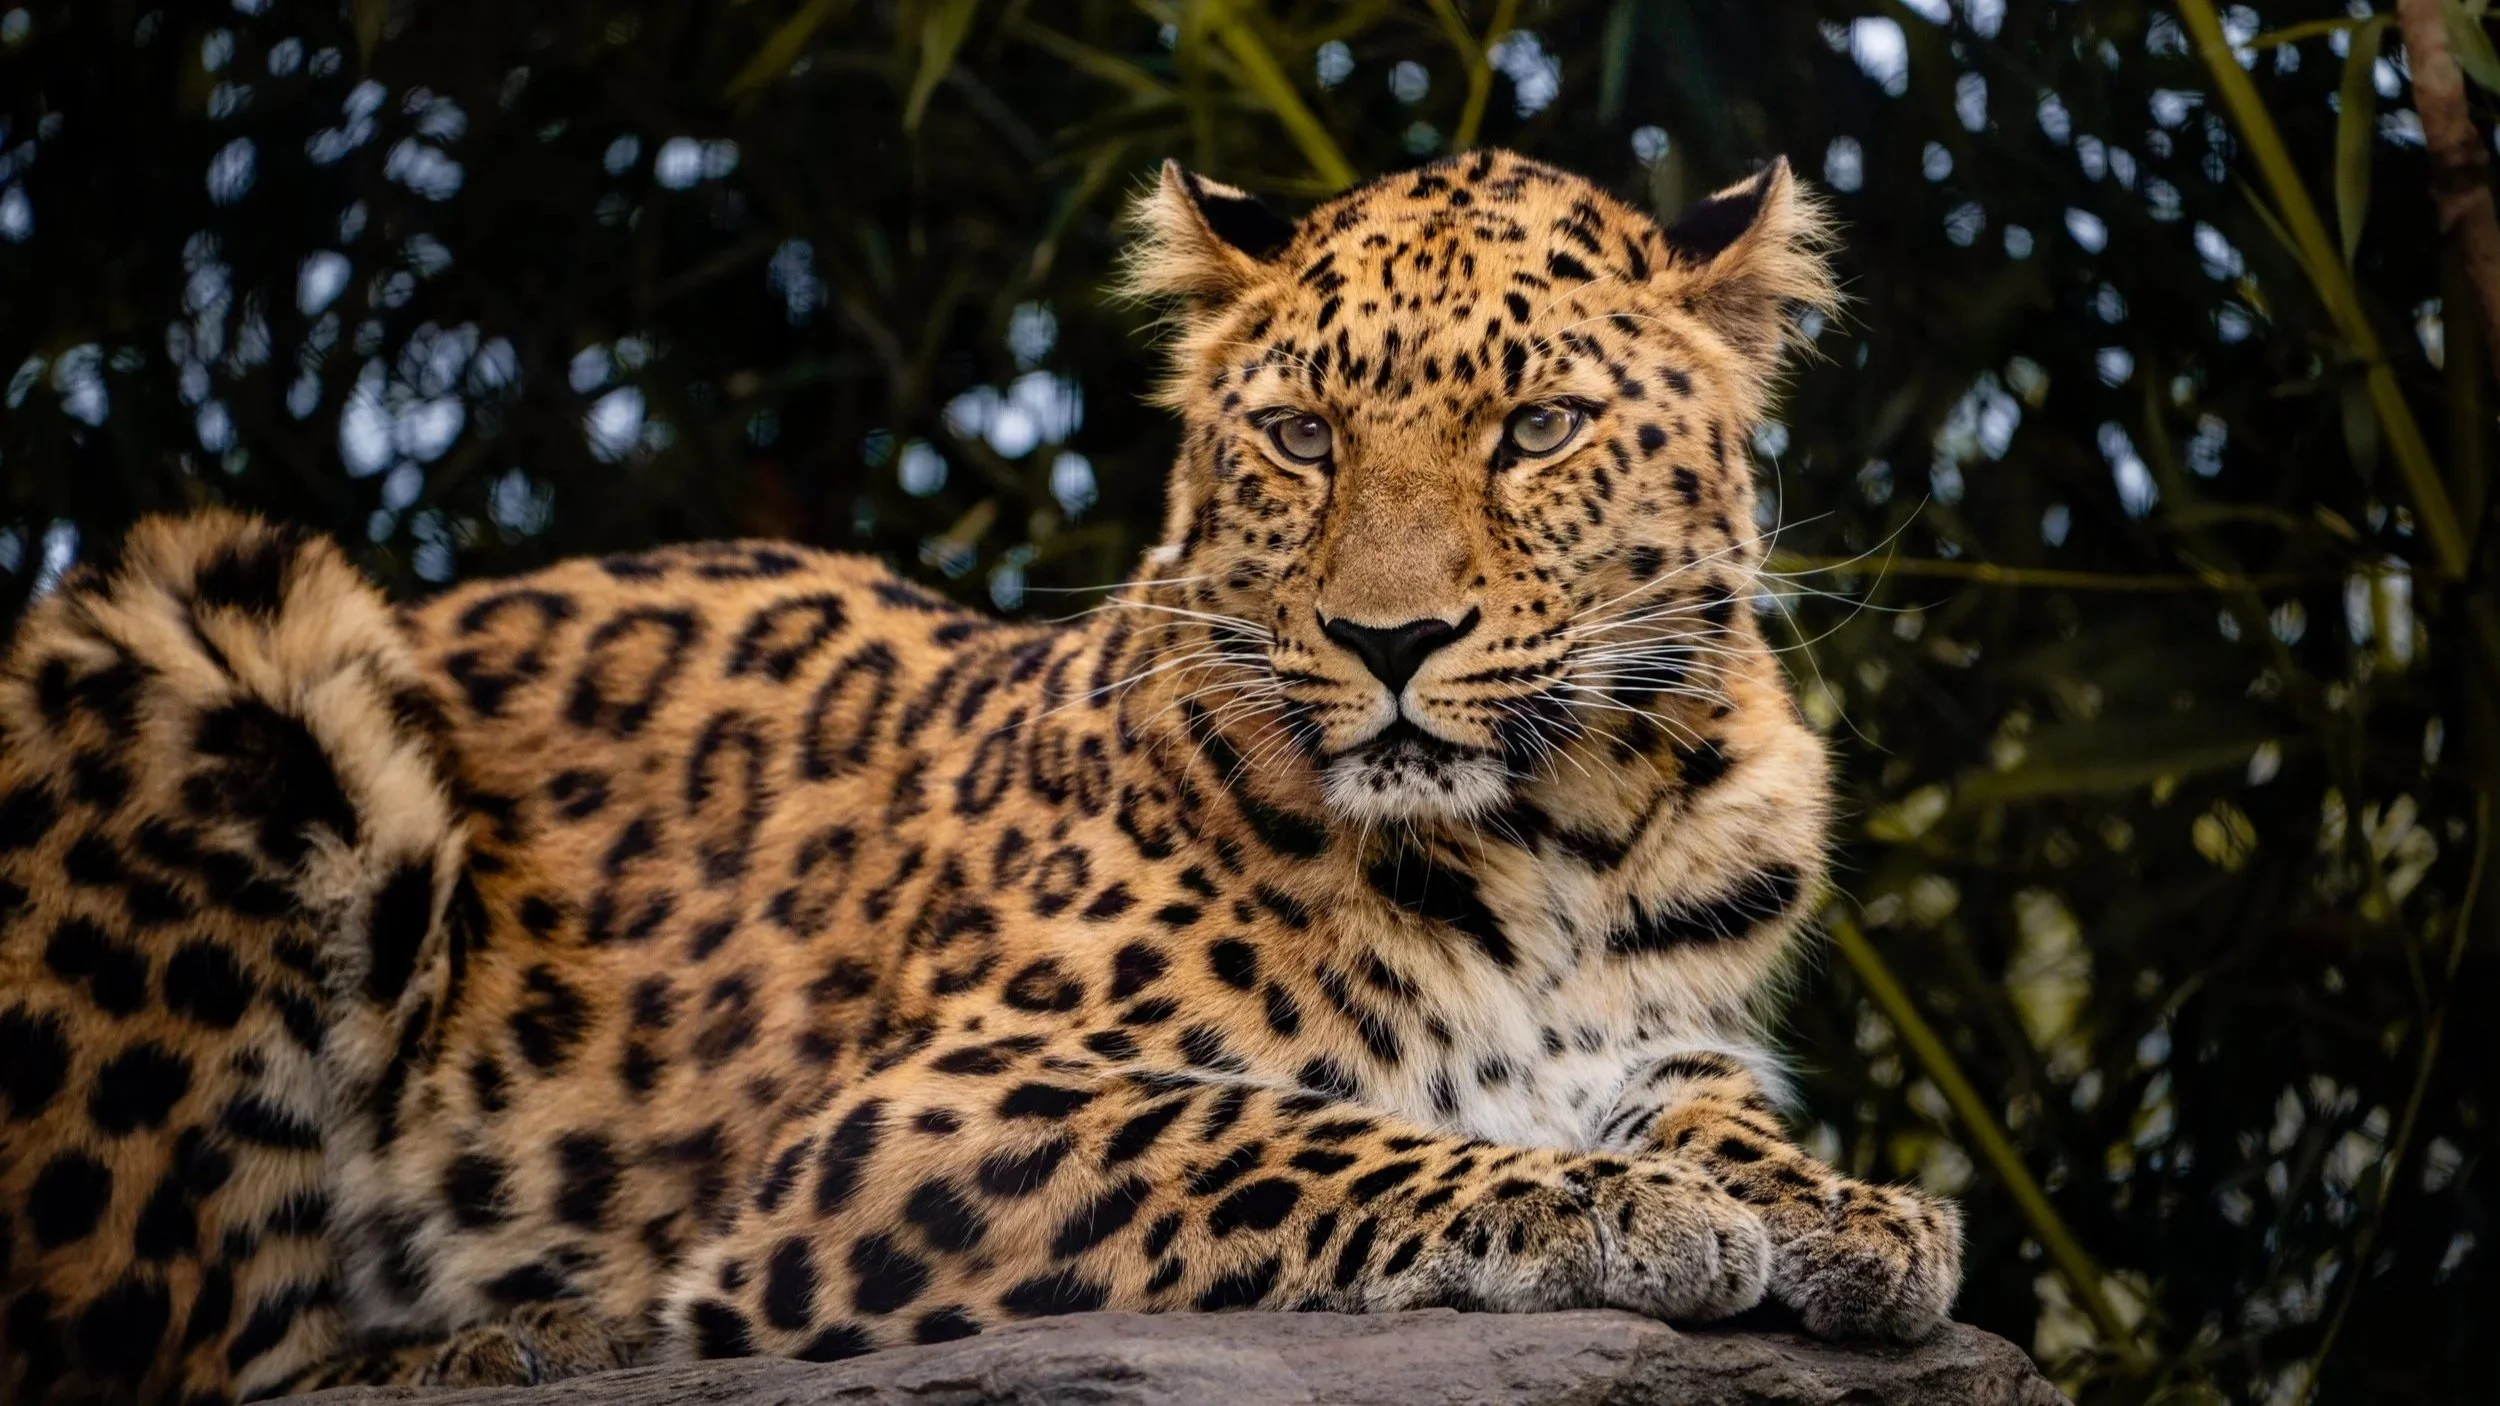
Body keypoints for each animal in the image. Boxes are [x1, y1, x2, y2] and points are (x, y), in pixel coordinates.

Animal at [0, 149, 1960, 1404]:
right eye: (1301, 434)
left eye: (1537, 428)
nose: (1388, 639)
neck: (1558, 838)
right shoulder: (914, 1117)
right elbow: (1296, 1130)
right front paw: (1612, 1207)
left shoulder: (1672, 1031)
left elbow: (1721, 1116)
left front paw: (1848, 1211)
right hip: (208, 642)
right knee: (181, 1348)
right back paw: (519, 1338)